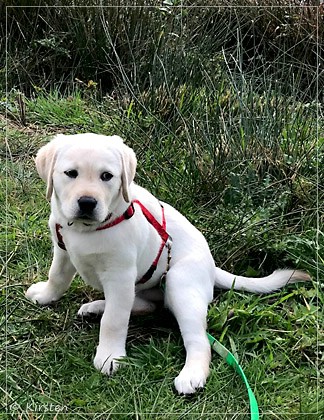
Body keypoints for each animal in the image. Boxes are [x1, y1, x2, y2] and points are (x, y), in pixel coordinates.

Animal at [26, 134, 310, 394]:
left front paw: (109, 356)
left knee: (195, 339)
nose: (87, 203)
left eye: (107, 176)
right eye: (70, 173)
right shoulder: (63, 249)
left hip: (179, 283)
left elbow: (114, 320)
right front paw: (45, 295)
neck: (87, 230)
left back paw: (192, 374)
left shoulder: (119, 274)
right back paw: (96, 307)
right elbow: (57, 276)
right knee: (145, 305)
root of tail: (211, 267)